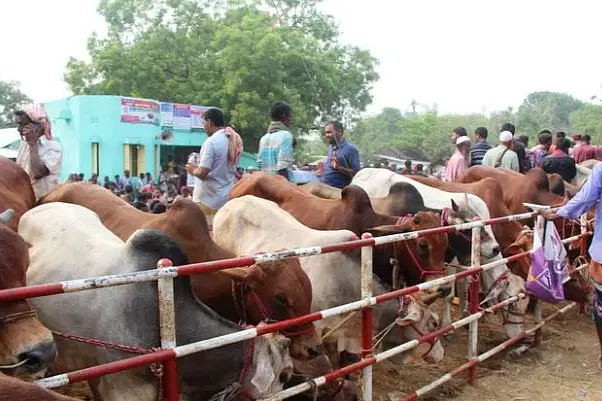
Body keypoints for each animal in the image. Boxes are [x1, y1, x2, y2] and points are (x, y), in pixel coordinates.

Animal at [350, 167, 528, 340]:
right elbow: (449, 292)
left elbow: (463, 285)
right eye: (511, 302)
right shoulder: (449, 262)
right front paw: (448, 326)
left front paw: (465, 314)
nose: (519, 336)